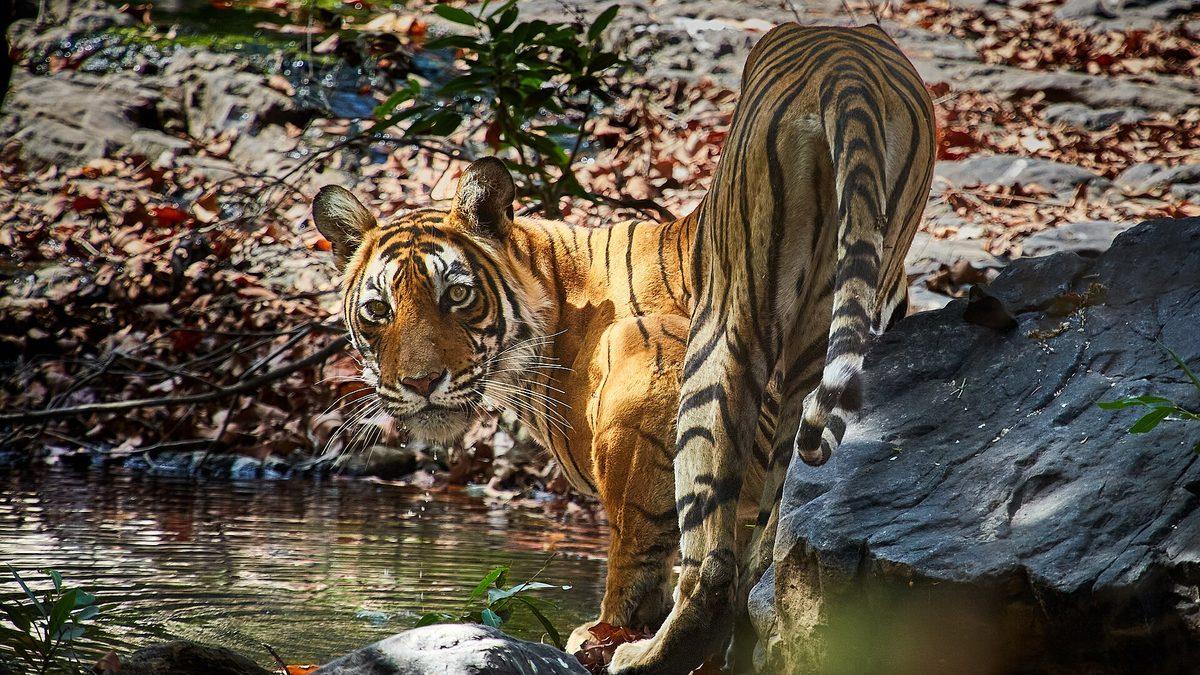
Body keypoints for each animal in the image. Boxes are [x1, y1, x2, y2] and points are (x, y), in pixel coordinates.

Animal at [311, 21, 934, 675]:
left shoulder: (645, 374)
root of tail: (843, 57)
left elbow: (638, 543)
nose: (420, 383)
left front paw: (607, 632)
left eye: (456, 295)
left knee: (710, 565)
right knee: (768, 535)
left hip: (723, 330)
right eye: (379, 311)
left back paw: (646, 653)